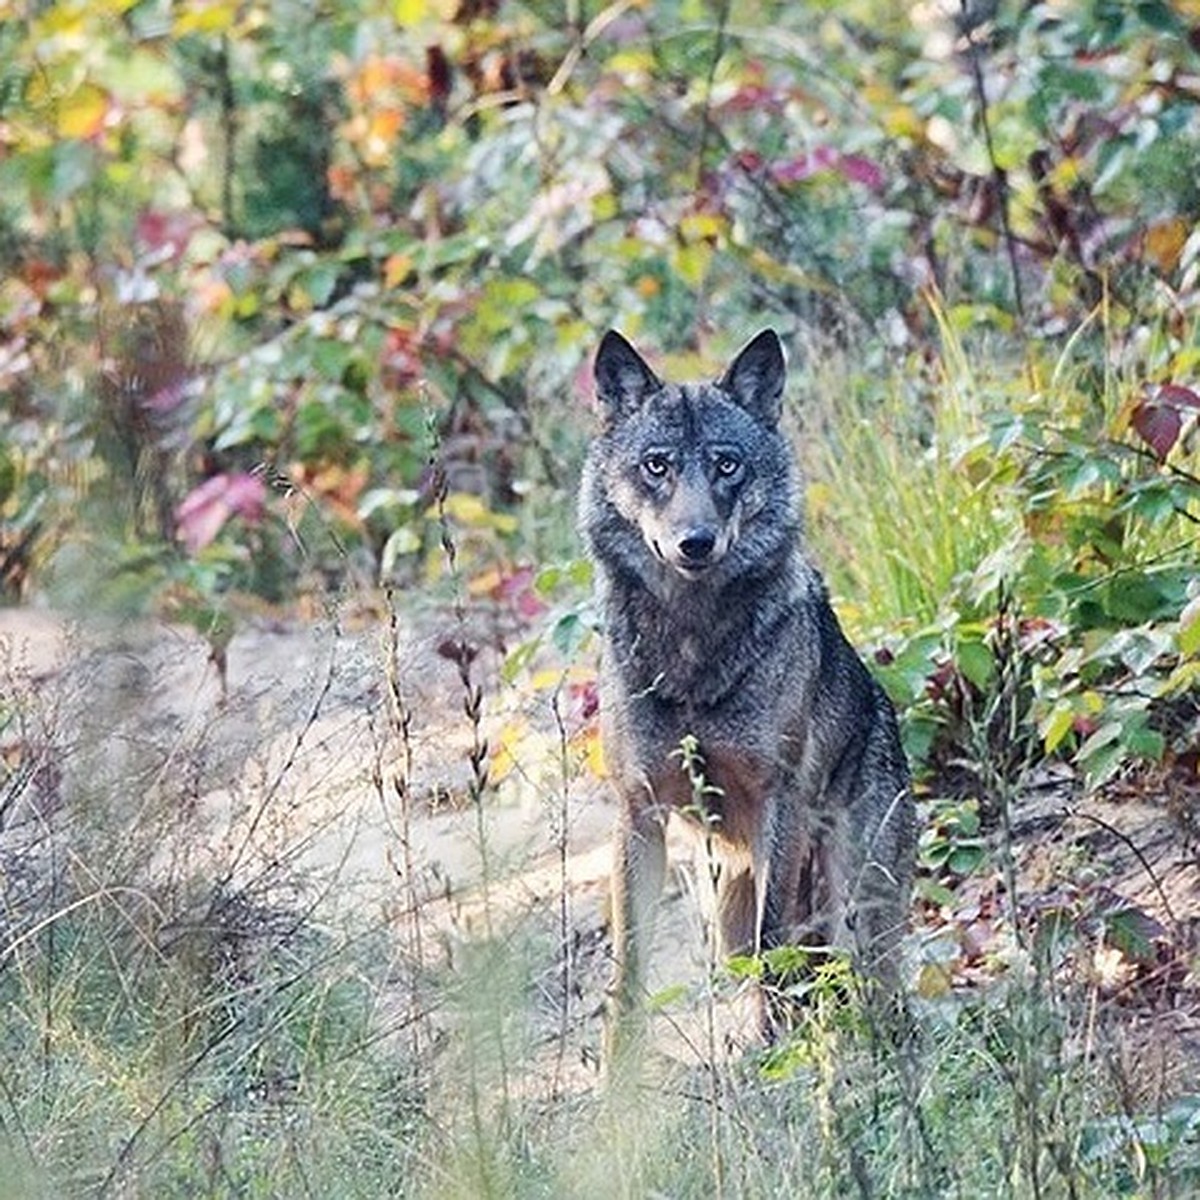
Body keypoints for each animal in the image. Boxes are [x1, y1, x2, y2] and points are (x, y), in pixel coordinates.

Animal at [576, 326, 912, 1060]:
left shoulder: (777, 800)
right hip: (725, 906)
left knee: (868, 988)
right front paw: (620, 1075)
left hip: (853, 898)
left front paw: (770, 1047)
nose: (695, 542)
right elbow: (629, 969)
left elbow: (774, 941)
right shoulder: (638, 813)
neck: (693, 645)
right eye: (657, 466)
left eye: (727, 466)